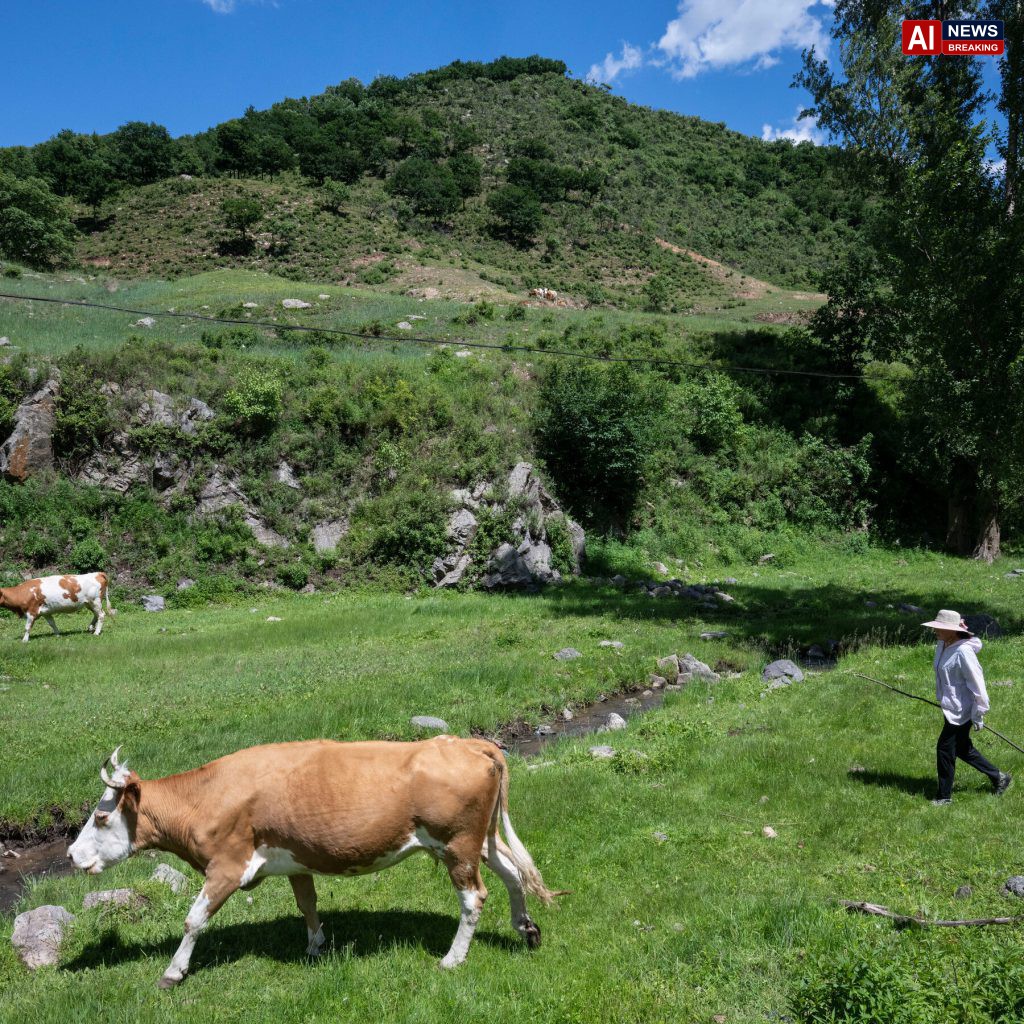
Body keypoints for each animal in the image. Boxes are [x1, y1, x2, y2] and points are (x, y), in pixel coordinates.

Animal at [68, 739, 560, 988]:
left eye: (101, 817)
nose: (71, 855)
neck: (206, 796)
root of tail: (467, 741)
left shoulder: (227, 867)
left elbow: (193, 919)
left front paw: (173, 972)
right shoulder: (295, 859)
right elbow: (307, 903)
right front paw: (316, 945)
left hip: (456, 844)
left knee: (474, 897)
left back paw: (452, 959)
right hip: (479, 841)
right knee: (513, 874)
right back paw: (526, 929)